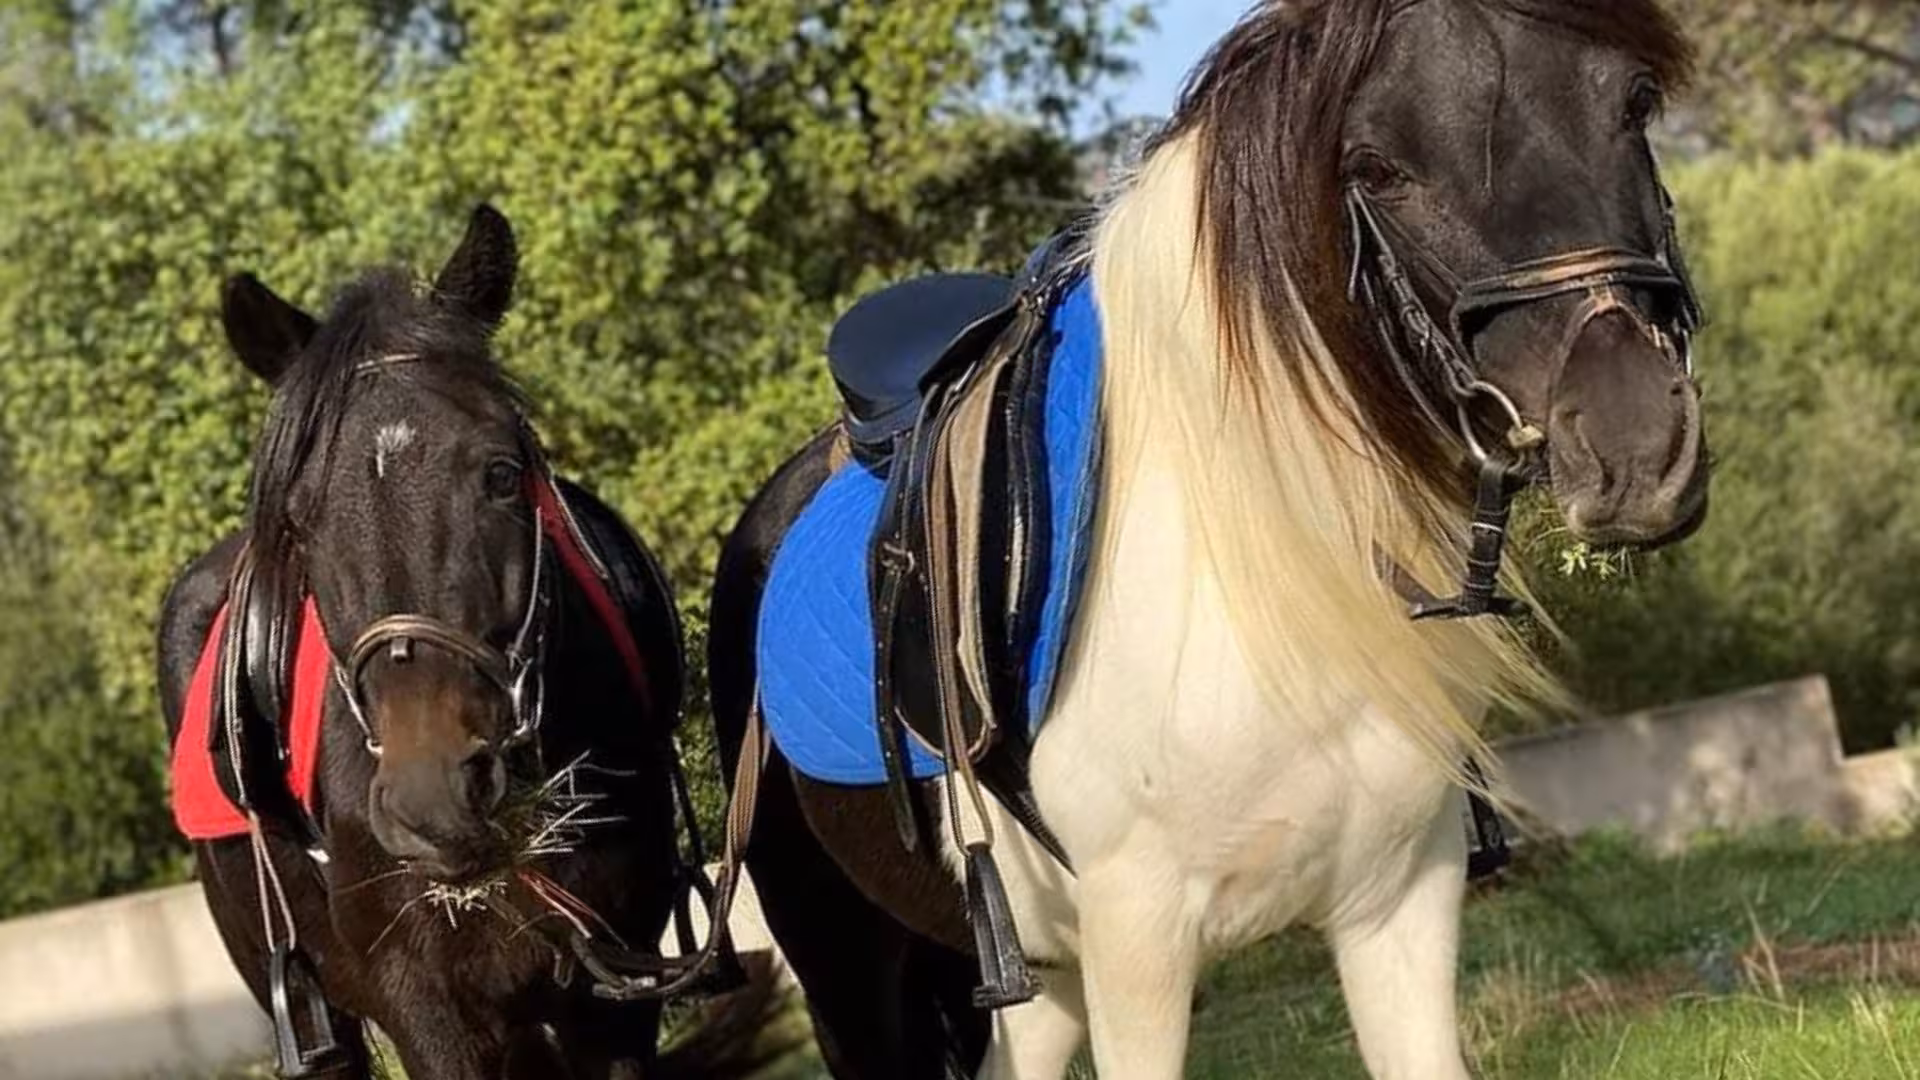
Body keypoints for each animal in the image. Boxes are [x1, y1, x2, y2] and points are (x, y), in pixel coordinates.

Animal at [707, 1, 1710, 1077]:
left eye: (1633, 101)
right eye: (1375, 165)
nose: (1634, 441)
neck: (1255, 572)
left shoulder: (1401, 903)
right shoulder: (1138, 947)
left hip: (1037, 985)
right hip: (854, 978)